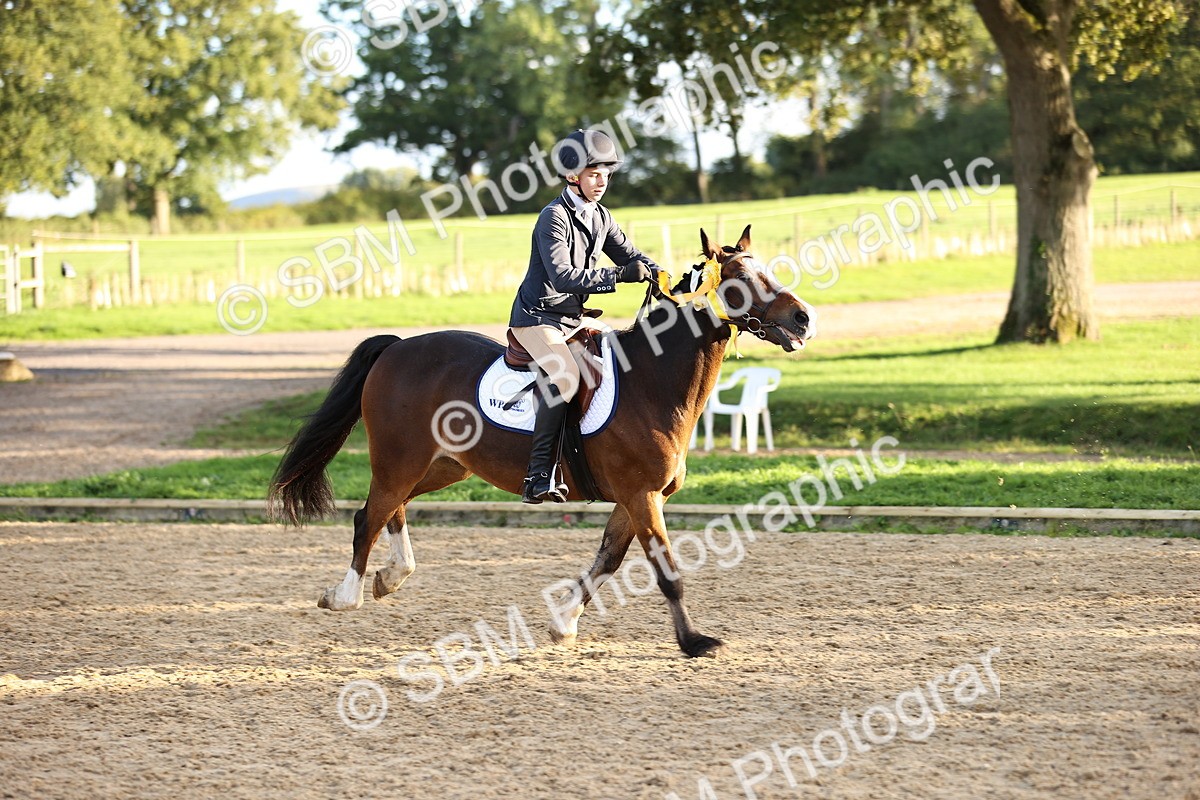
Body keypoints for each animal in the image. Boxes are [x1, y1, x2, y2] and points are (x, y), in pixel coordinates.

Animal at [269, 225, 814, 658]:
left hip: (442, 466)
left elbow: (607, 562)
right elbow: (666, 571)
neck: (652, 378)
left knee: (391, 509)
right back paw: (347, 595)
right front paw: (694, 642)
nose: (803, 319)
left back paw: (391, 575)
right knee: (370, 516)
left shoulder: (636, 499)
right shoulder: (642, 496)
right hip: (400, 460)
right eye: (740, 279)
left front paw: (562, 624)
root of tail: (398, 347)